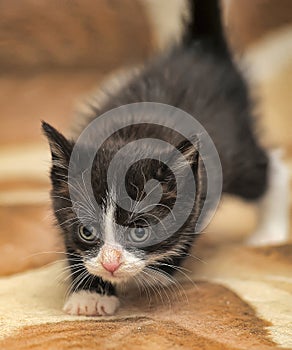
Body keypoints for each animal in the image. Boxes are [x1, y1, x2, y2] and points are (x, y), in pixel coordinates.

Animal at [42, 0, 288, 316]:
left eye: (140, 231)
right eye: (86, 231)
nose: (111, 264)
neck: (130, 134)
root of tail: (200, 48)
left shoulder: (202, 185)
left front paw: (156, 274)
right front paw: (90, 295)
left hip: (237, 153)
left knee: (269, 167)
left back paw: (269, 231)